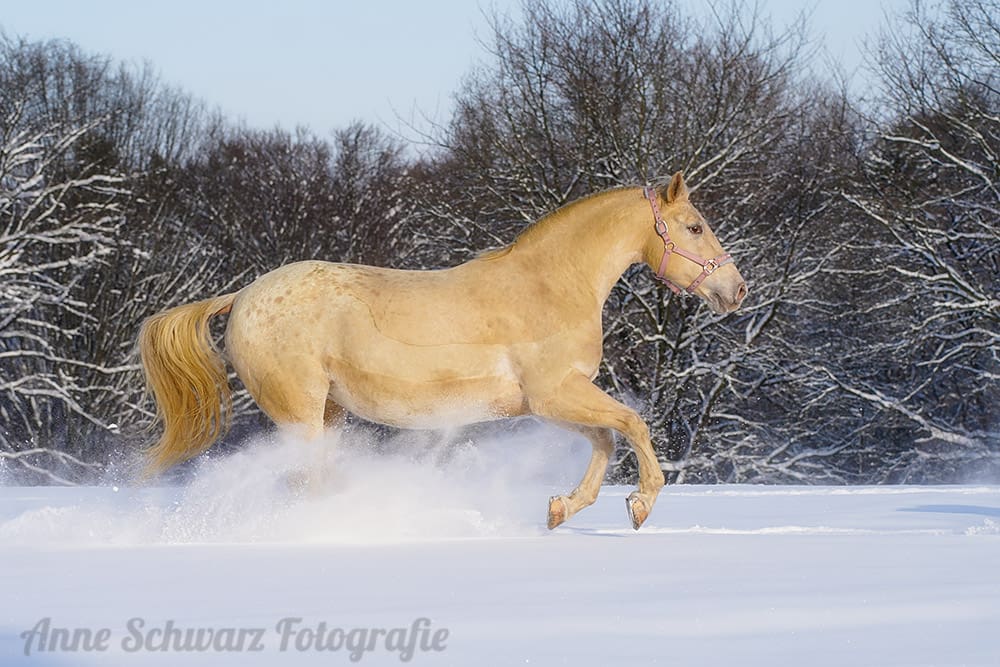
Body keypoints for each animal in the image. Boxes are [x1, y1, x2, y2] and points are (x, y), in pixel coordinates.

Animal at [137, 172, 747, 530]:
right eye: (694, 226)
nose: (736, 290)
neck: (550, 285)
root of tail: (241, 295)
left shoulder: (551, 401)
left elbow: (605, 439)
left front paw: (560, 510)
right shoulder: (554, 393)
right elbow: (632, 425)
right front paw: (641, 504)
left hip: (328, 415)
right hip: (302, 416)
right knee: (303, 481)